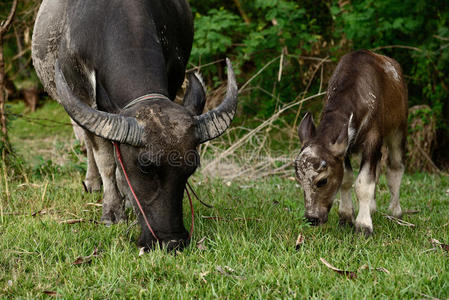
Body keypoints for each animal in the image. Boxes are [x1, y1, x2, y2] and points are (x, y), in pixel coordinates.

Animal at [32, 0, 238, 250]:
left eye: (191, 167)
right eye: (145, 166)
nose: (171, 240)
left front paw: (128, 199)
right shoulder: (81, 95)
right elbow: (106, 159)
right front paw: (112, 212)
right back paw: (93, 183)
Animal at [294, 49, 406, 234]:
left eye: (322, 181)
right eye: (299, 180)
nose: (312, 218)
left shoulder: (373, 139)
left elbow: (363, 183)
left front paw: (363, 226)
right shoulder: (345, 148)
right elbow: (347, 179)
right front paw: (346, 217)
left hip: (398, 129)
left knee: (395, 167)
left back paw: (395, 211)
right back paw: (372, 208)